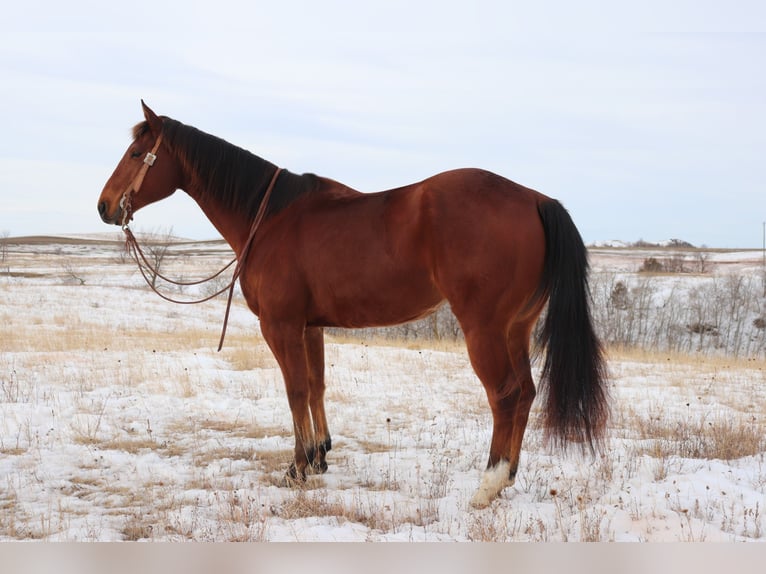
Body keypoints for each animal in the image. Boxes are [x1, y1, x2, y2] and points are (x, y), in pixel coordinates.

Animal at [97, 102, 612, 508]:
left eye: (137, 154)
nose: (104, 206)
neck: (271, 218)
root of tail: (536, 199)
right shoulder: (311, 326)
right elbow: (317, 386)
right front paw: (320, 456)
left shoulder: (280, 326)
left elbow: (295, 390)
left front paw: (298, 467)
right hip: (516, 329)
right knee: (524, 393)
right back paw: (508, 479)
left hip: (484, 330)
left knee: (504, 396)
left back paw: (487, 486)